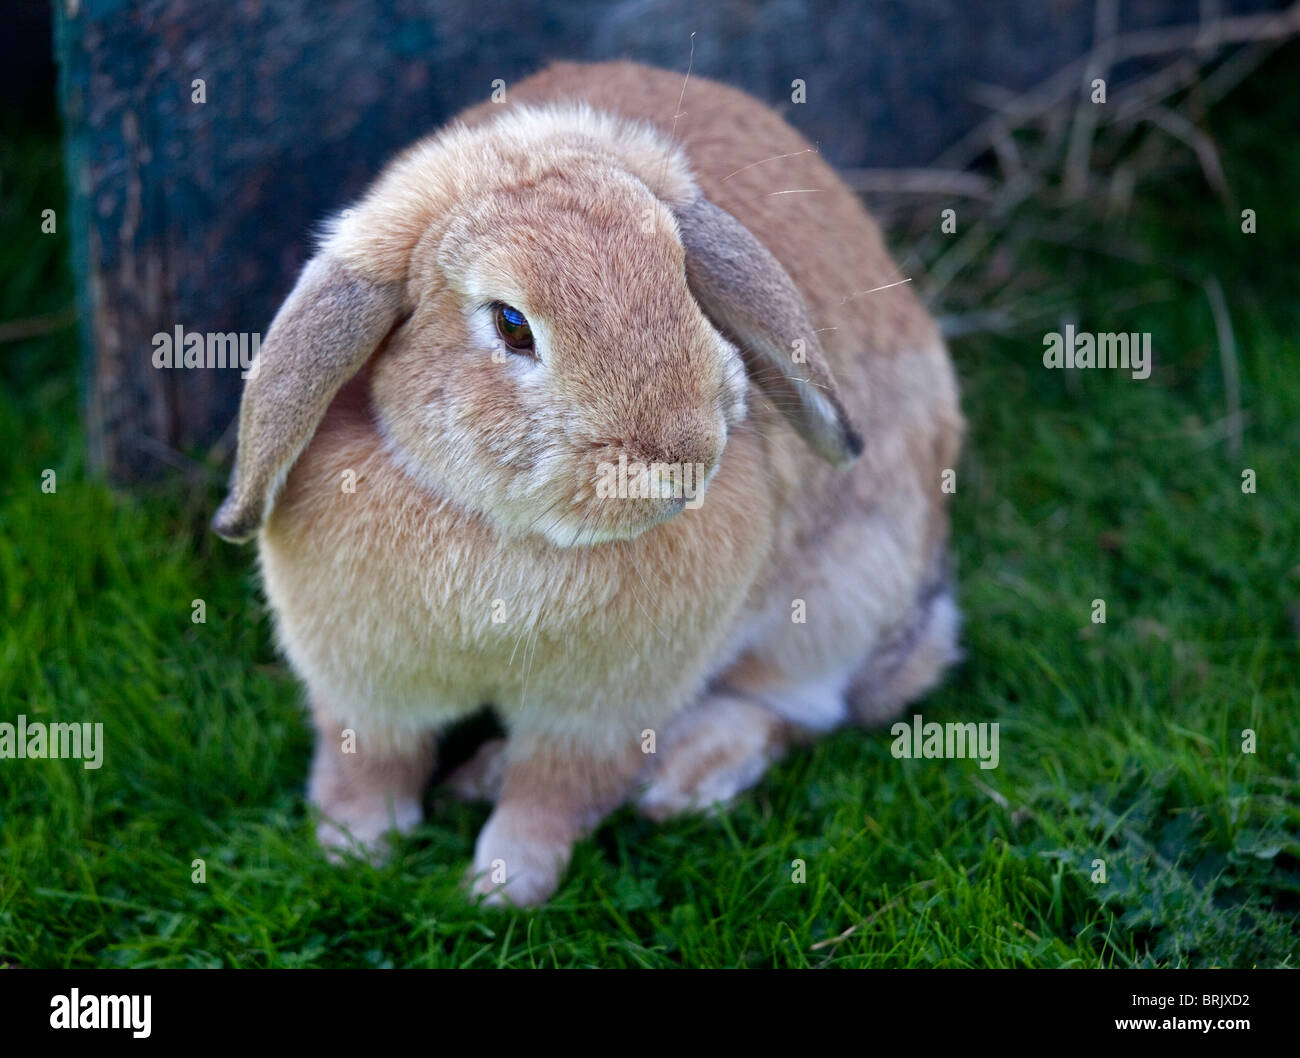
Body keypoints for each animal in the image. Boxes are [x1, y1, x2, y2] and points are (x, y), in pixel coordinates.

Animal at [213, 60, 964, 907]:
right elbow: (369, 762)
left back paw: (682, 775)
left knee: (798, 707)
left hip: (837, 600)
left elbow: (553, 796)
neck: (508, 531)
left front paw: (502, 886)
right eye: (511, 324)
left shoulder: (600, 716)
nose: (685, 453)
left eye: (680, 275)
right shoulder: (364, 691)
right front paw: (355, 849)